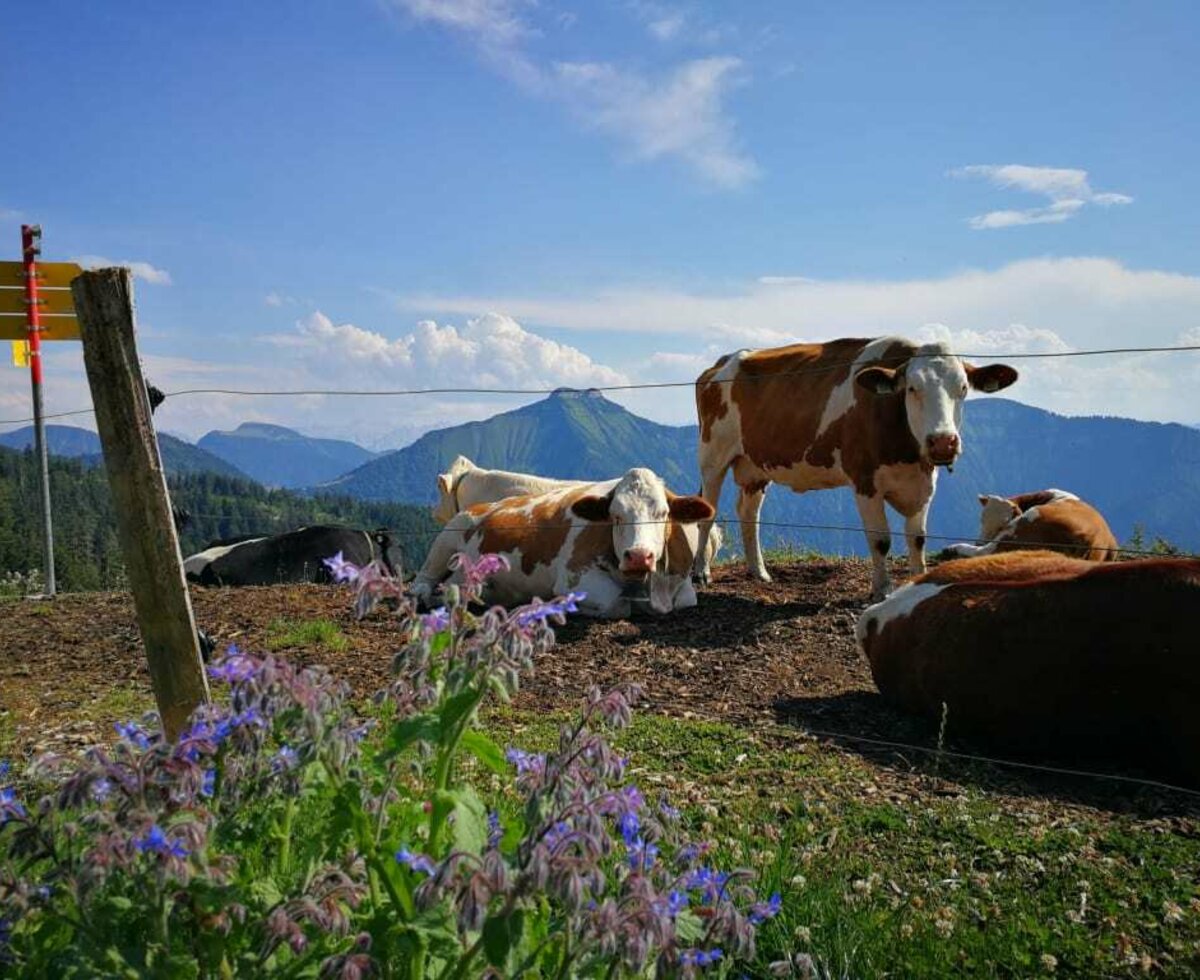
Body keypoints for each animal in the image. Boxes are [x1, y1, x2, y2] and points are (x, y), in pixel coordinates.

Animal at [412, 467, 710, 618]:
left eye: (662, 514)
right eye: (615, 515)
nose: (638, 556)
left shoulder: (681, 582)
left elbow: (688, 599)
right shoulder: (573, 577)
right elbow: (617, 603)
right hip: (448, 536)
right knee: (422, 580)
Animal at [691, 335, 1017, 597]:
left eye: (963, 388)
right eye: (912, 388)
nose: (943, 442)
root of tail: (724, 361)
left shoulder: (924, 485)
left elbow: (918, 539)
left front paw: (917, 582)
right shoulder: (865, 481)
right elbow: (881, 540)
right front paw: (882, 590)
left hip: (755, 465)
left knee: (749, 513)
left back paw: (759, 571)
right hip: (712, 456)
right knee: (708, 512)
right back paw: (700, 573)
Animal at [945, 487, 1123, 558]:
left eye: (1002, 524)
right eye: (981, 519)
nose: (979, 541)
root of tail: (1088, 537)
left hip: (1025, 523)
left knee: (986, 552)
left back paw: (955, 547)